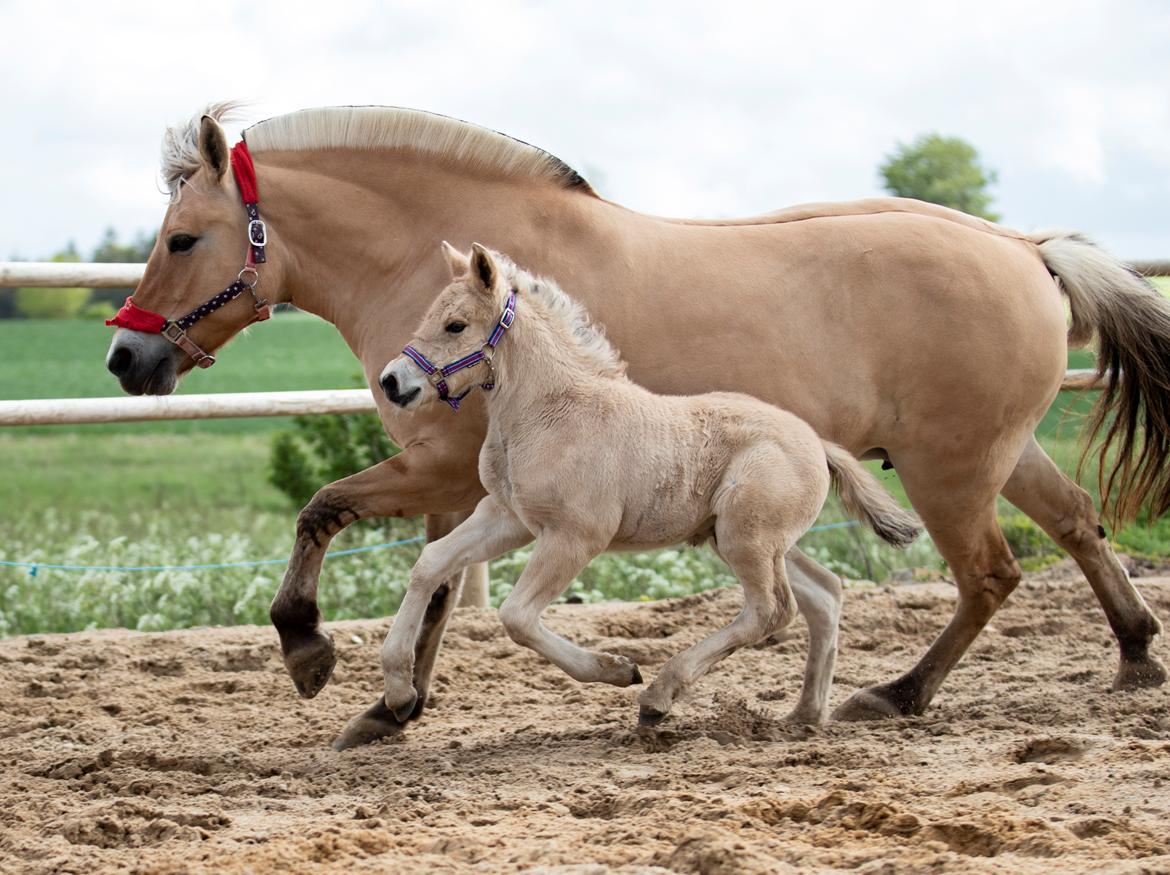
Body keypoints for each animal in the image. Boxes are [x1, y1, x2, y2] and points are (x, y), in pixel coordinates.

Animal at [379, 242, 917, 729]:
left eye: (456, 325)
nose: (391, 382)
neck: (549, 413)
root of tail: (816, 442)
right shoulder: (508, 517)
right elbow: (430, 564)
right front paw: (400, 693)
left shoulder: (576, 536)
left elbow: (516, 616)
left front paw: (618, 669)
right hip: (748, 539)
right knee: (823, 594)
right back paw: (804, 715)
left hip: (747, 538)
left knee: (770, 611)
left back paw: (659, 696)